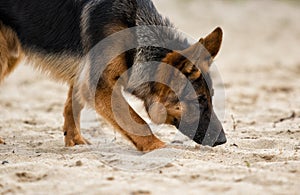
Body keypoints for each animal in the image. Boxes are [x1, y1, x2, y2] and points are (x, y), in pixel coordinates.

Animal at [0, 0, 225, 152]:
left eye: (211, 98)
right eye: (199, 100)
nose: (223, 140)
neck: (134, 31)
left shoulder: (85, 75)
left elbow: (73, 105)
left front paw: (74, 141)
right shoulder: (100, 85)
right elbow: (137, 121)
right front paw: (159, 146)